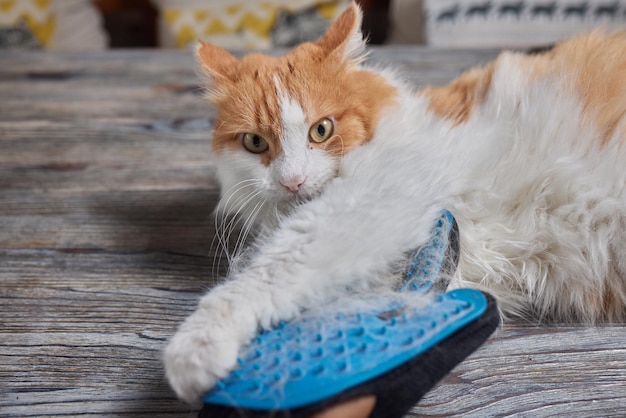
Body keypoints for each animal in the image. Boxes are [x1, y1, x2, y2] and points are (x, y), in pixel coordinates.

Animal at [162, 0, 624, 404]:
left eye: (321, 130)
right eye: (255, 143)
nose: (293, 182)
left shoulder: (371, 202)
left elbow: (267, 272)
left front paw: (196, 346)